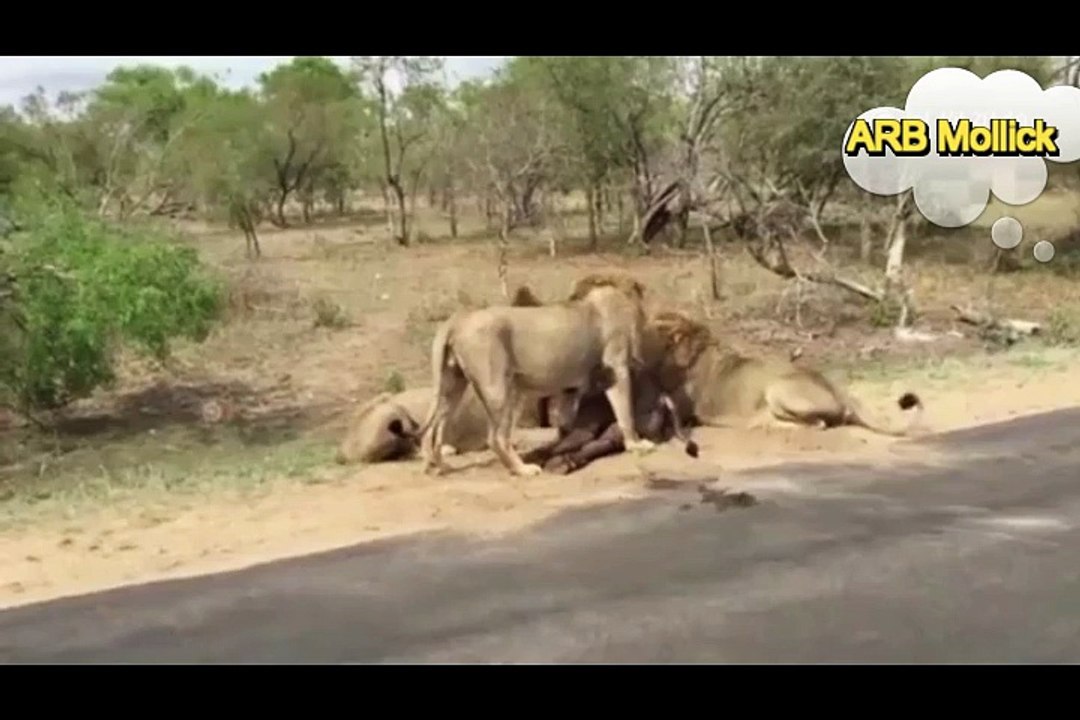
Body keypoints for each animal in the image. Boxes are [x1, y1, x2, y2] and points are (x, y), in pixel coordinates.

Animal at [415, 273, 655, 477]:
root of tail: (458, 319)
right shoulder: (617, 368)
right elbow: (625, 413)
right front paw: (636, 444)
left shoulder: (571, 388)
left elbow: (566, 422)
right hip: (498, 389)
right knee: (496, 437)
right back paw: (522, 469)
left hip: (453, 384)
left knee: (434, 429)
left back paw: (438, 466)